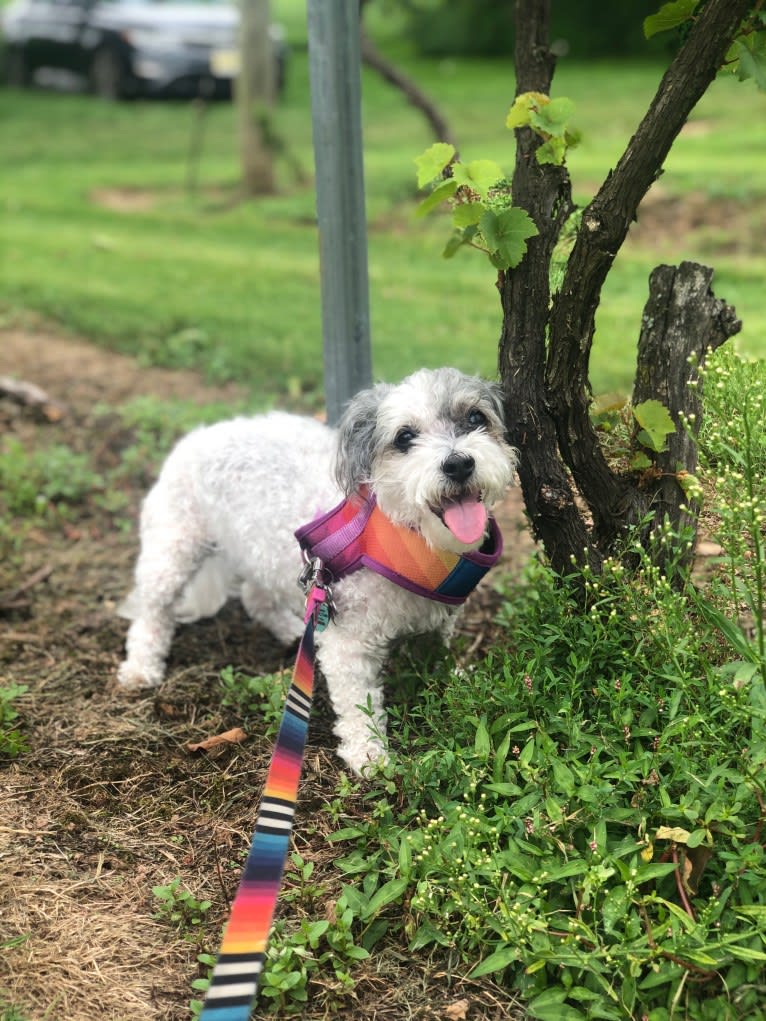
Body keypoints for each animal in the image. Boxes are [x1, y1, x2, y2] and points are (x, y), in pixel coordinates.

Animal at [116, 363, 518, 767]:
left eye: (475, 418)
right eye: (405, 437)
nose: (458, 463)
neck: (398, 534)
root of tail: (196, 435)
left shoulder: (434, 620)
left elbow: (435, 660)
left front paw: (453, 684)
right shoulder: (347, 644)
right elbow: (359, 706)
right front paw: (368, 753)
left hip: (261, 549)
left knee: (255, 597)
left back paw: (290, 629)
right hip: (173, 551)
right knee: (152, 612)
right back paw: (141, 667)